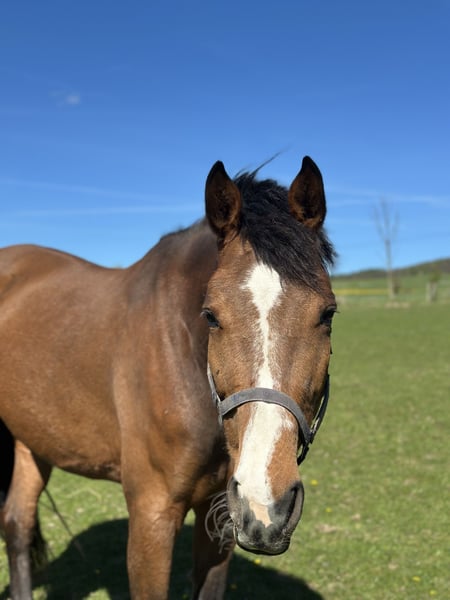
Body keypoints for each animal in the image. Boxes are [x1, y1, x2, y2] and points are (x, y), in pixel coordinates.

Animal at [0, 155, 336, 599]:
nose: (268, 504)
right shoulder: (152, 515)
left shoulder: (221, 516)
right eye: (210, 315)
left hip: (33, 441)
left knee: (17, 525)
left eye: (328, 313)